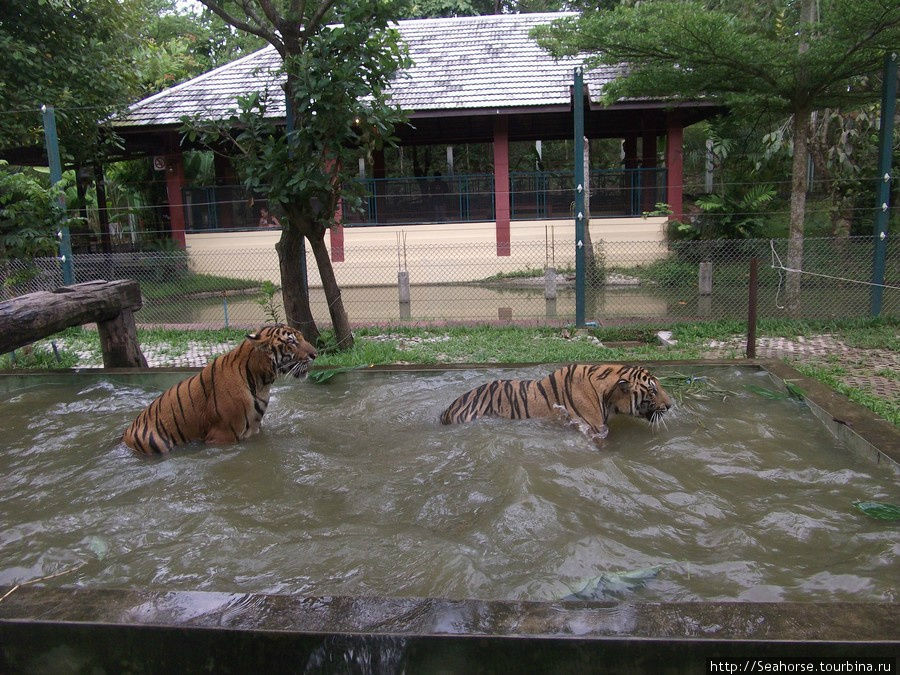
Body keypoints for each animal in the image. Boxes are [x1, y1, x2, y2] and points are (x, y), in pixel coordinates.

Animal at [119, 326, 316, 456]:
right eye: (291, 341)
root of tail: (125, 435)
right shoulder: (221, 436)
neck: (262, 381)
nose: (315, 354)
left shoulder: (254, 430)